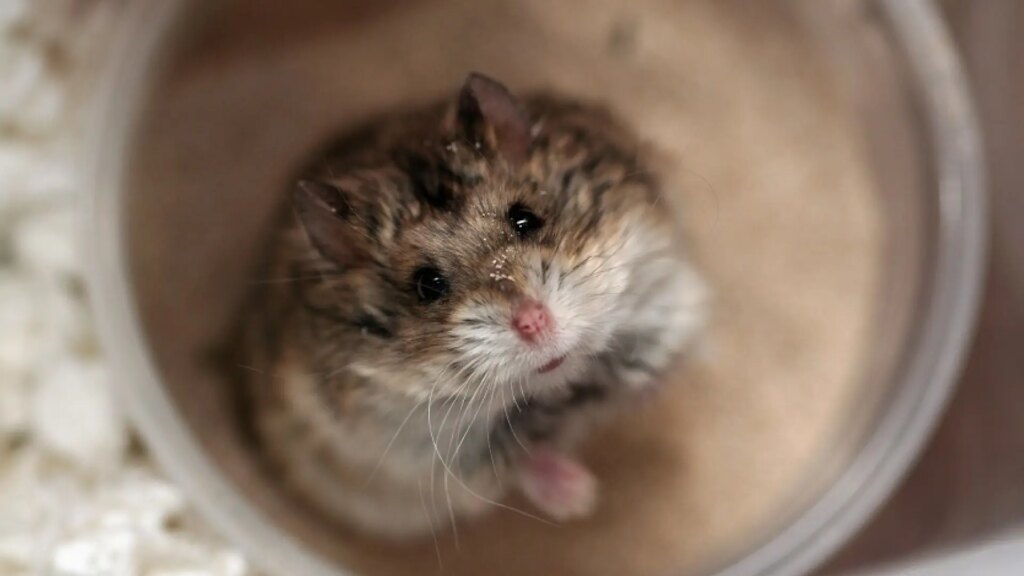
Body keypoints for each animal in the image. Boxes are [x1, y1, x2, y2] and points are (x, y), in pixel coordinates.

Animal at [240, 73, 708, 539]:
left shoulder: (666, 291)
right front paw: (581, 499)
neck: (557, 386)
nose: (534, 323)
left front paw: (647, 390)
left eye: (525, 218)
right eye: (427, 285)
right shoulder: (418, 453)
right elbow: (519, 462)